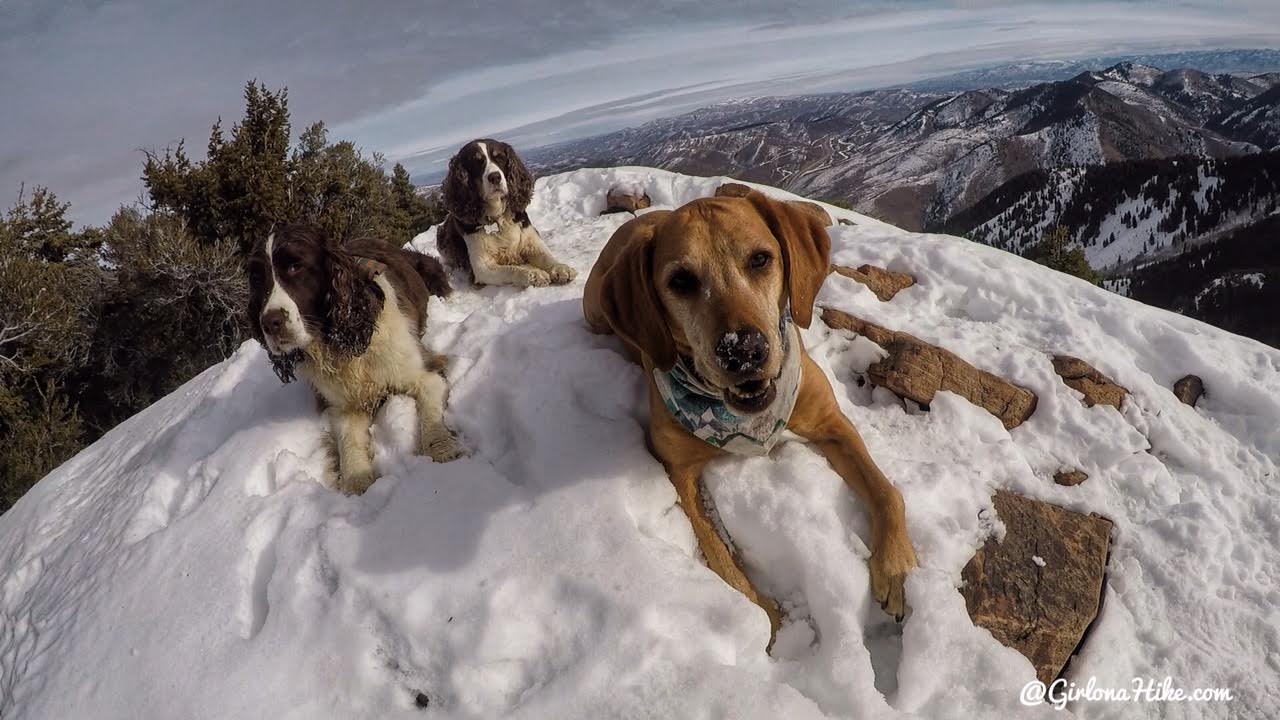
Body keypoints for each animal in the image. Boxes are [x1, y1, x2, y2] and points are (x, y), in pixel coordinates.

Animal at [245, 224, 465, 491]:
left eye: (295, 266)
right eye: (257, 279)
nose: (269, 324)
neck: (340, 344)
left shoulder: (425, 372)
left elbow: (429, 415)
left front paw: (443, 450)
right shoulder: (343, 406)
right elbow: (349, 441)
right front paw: (357, 482)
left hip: (429, 269)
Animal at [435, 137, 576, 285]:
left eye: (500, 158)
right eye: (476, 163)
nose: (495, 177)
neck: (497, 217)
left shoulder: (531, 241)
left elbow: (546, 256)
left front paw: (561, 268)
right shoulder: (481, 267)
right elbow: (511, 269)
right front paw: (533, 273)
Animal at [586, 189, 916, 638]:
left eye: (760, 259)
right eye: (680, 281)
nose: (742, 351)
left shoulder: (831, 422)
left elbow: (886, 492)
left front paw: (894, 567)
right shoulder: (679, 472)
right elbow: (720, 555)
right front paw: (770, 625)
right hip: (595, 314)